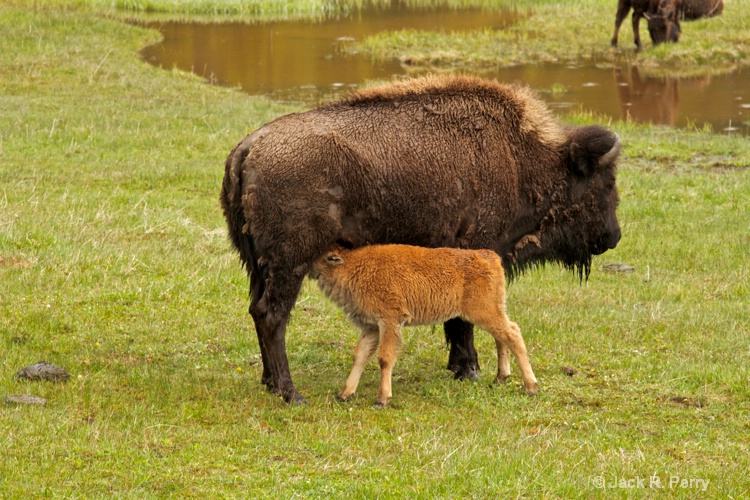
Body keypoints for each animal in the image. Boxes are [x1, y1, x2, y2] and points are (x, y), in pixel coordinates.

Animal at [312, 243, 540, 406]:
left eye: (322, 258)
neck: (353, 266)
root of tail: (488, 256)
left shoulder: (390, 321)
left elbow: (384, 358)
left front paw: (381, 399)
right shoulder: (371, 327)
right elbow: (360, 356)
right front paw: (344, 394)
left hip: (485, 312)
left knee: (512, 334)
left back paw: (531, 387)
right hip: (492, 313)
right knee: (502, 337)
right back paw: (501, 378)